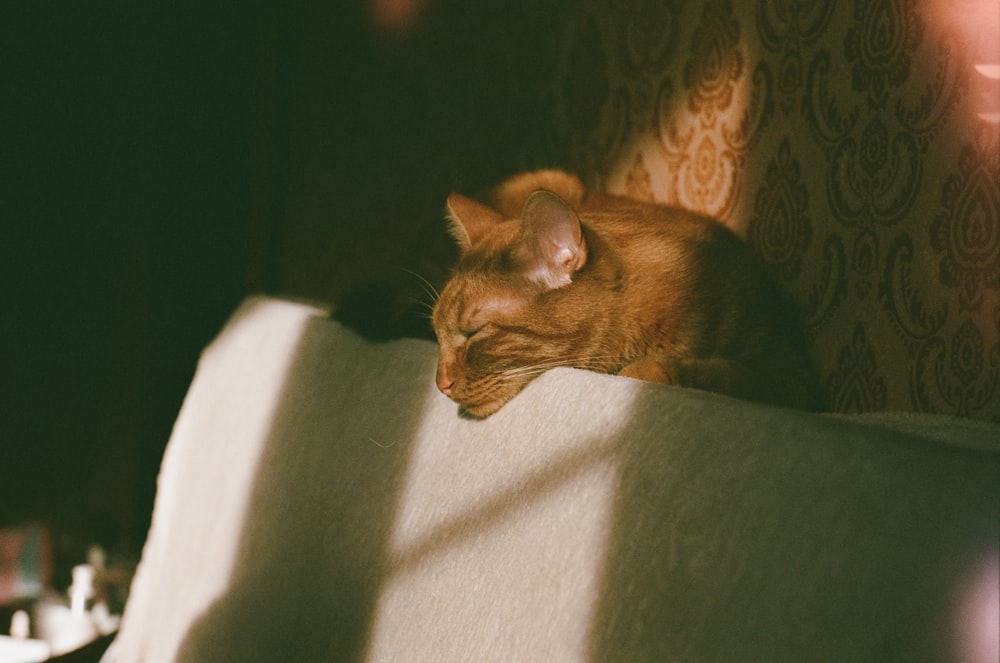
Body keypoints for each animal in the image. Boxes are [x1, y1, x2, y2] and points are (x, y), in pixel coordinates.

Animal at [434, 170, 824, 416]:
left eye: (475, 333)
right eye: (436, 335)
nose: (440, 386)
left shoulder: (792, 379)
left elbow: (721, 373)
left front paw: (653, 368)